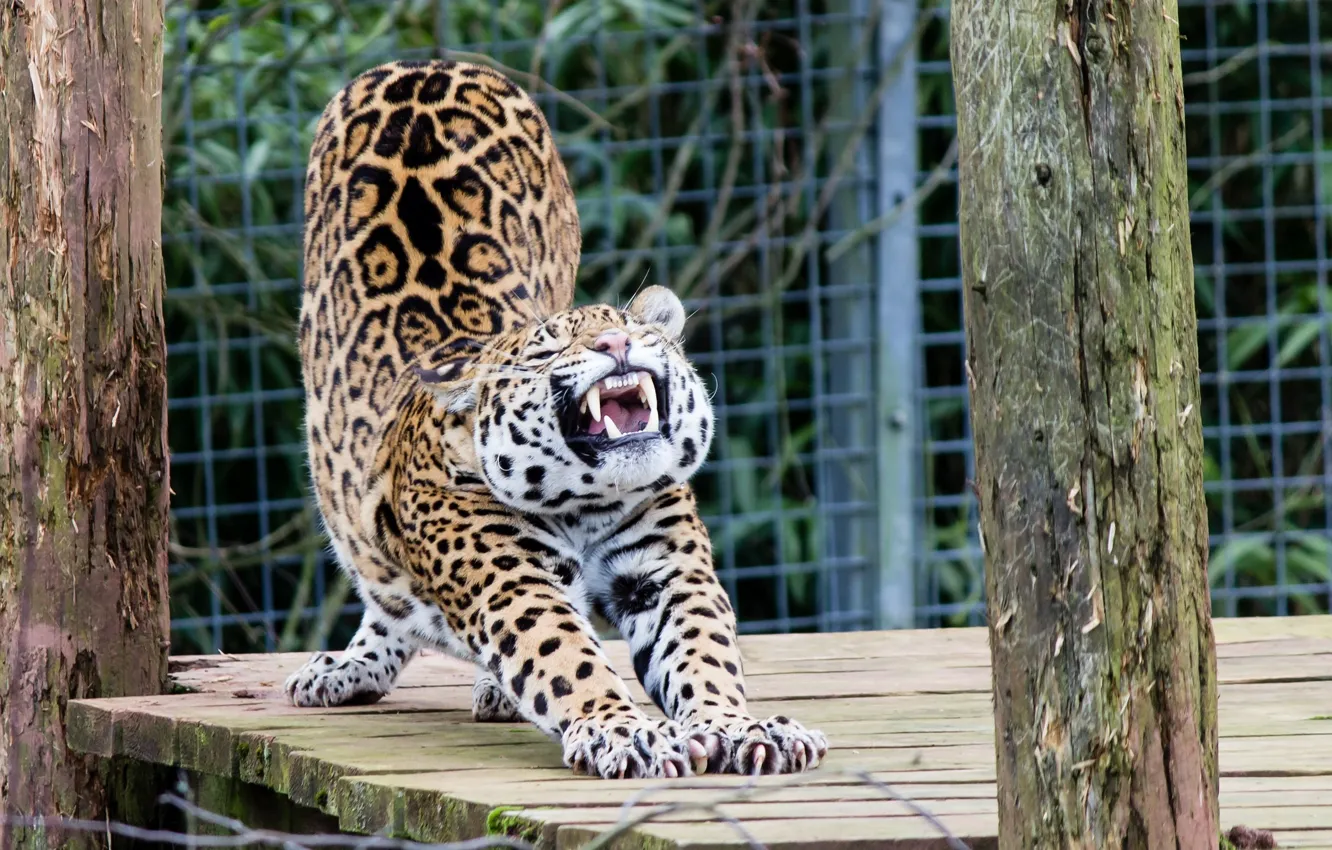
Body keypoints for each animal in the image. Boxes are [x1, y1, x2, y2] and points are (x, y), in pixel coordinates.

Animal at [285, 58, 827, 779]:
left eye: (633, 329)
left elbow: (702, 652)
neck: (588, 500)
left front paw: (736, 725)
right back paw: (351, 667)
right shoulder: (510, 583)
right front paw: (625, 731)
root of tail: (421, 62)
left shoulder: (664, 571)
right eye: (547, 351)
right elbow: (567, 657)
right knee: (385, 585)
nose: (615, 343)